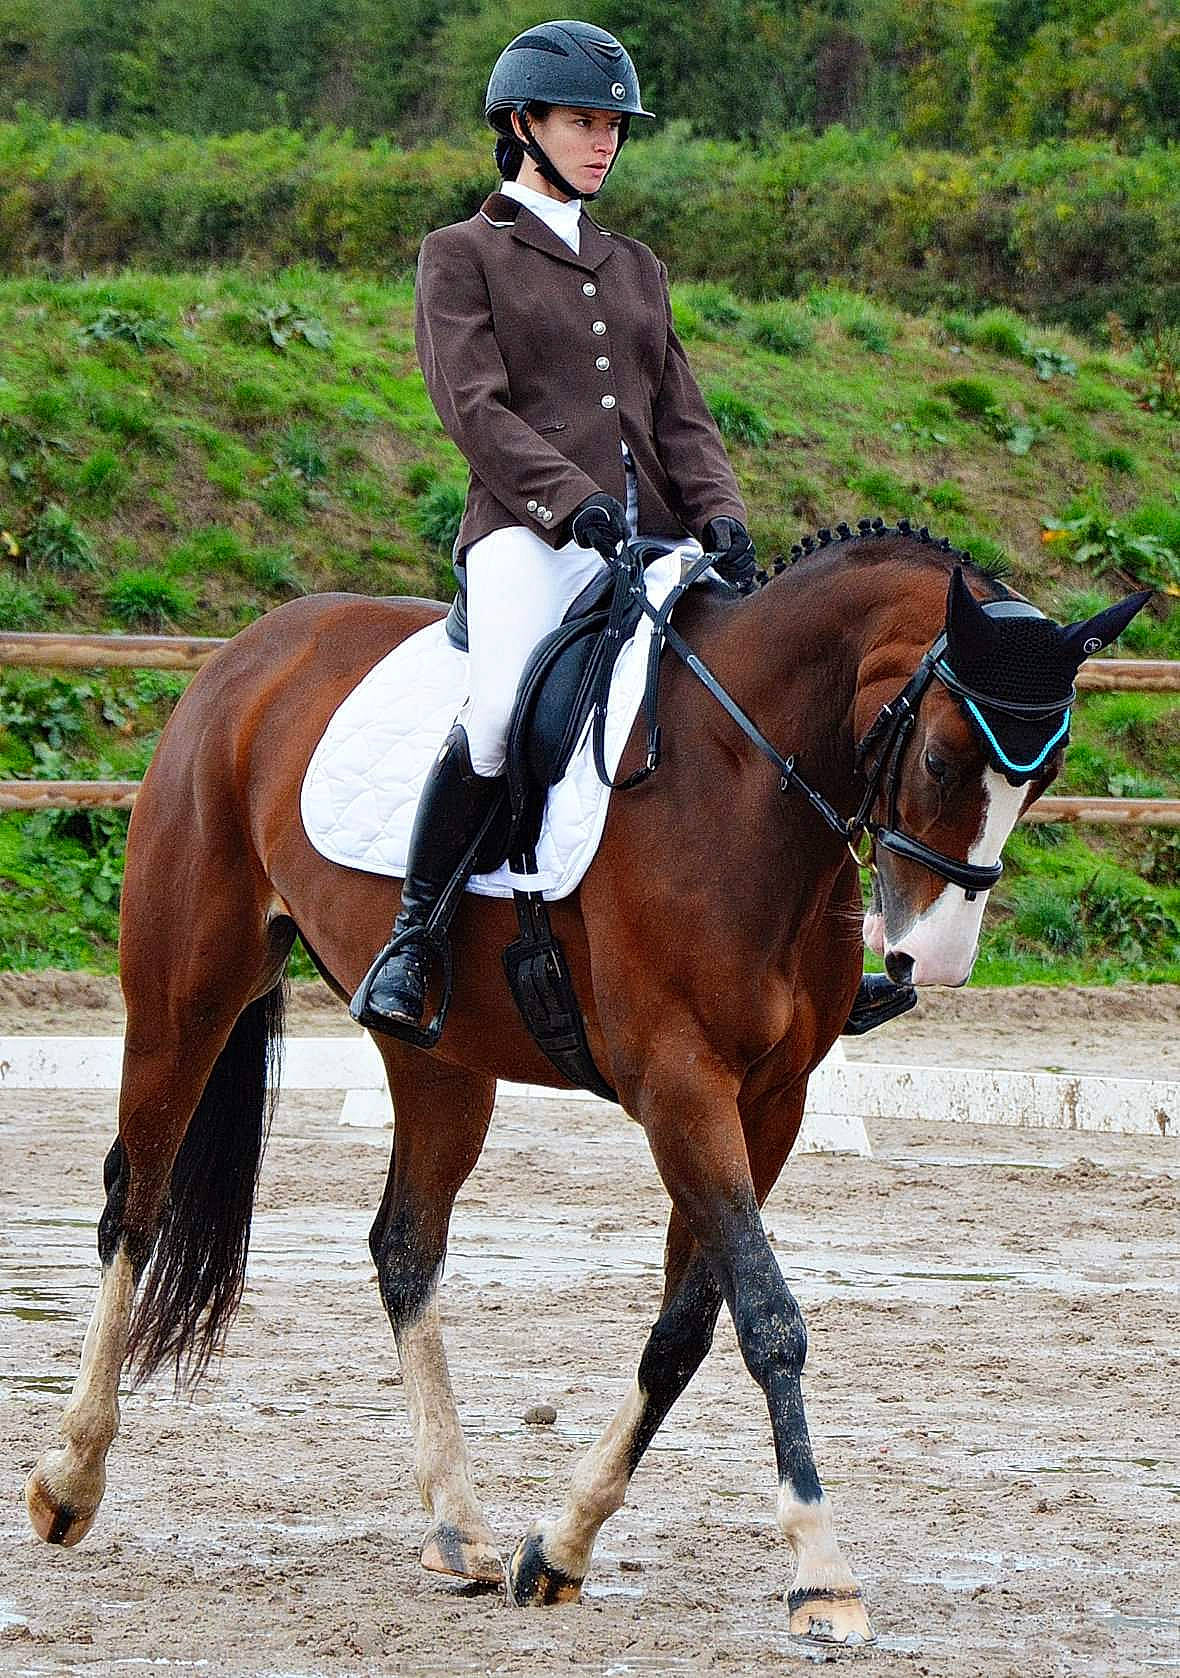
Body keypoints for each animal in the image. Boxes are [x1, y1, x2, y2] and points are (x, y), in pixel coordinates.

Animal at [23, 523, 1147, 1645]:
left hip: (438, 1057)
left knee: (403, 1246)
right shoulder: (680, 1085)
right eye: (941, 756)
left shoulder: (768, 1101)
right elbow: (767, 1316)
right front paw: (822, 1574)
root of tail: (251, 651)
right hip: (188, 991)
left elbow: (688, 1326)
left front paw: (559, 1546)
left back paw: (459, 1527)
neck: (743, 783)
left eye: (1043, 776)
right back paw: (70, 1478)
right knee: (136, 1204)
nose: (935, 960)